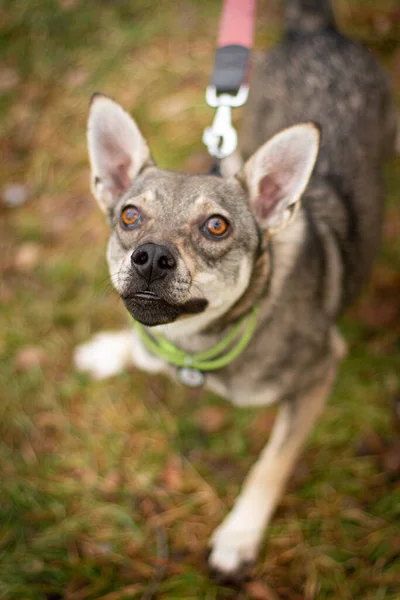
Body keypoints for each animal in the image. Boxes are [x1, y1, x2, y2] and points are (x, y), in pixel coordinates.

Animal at [75, 0, 396, 580]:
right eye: (130, 216)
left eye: (216, 226)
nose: (150, 257)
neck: (196, 343)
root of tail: (317, 28)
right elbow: (138, 345)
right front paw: (109, 351)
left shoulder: (321, 370)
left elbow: (272, 462)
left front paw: (239, 536)